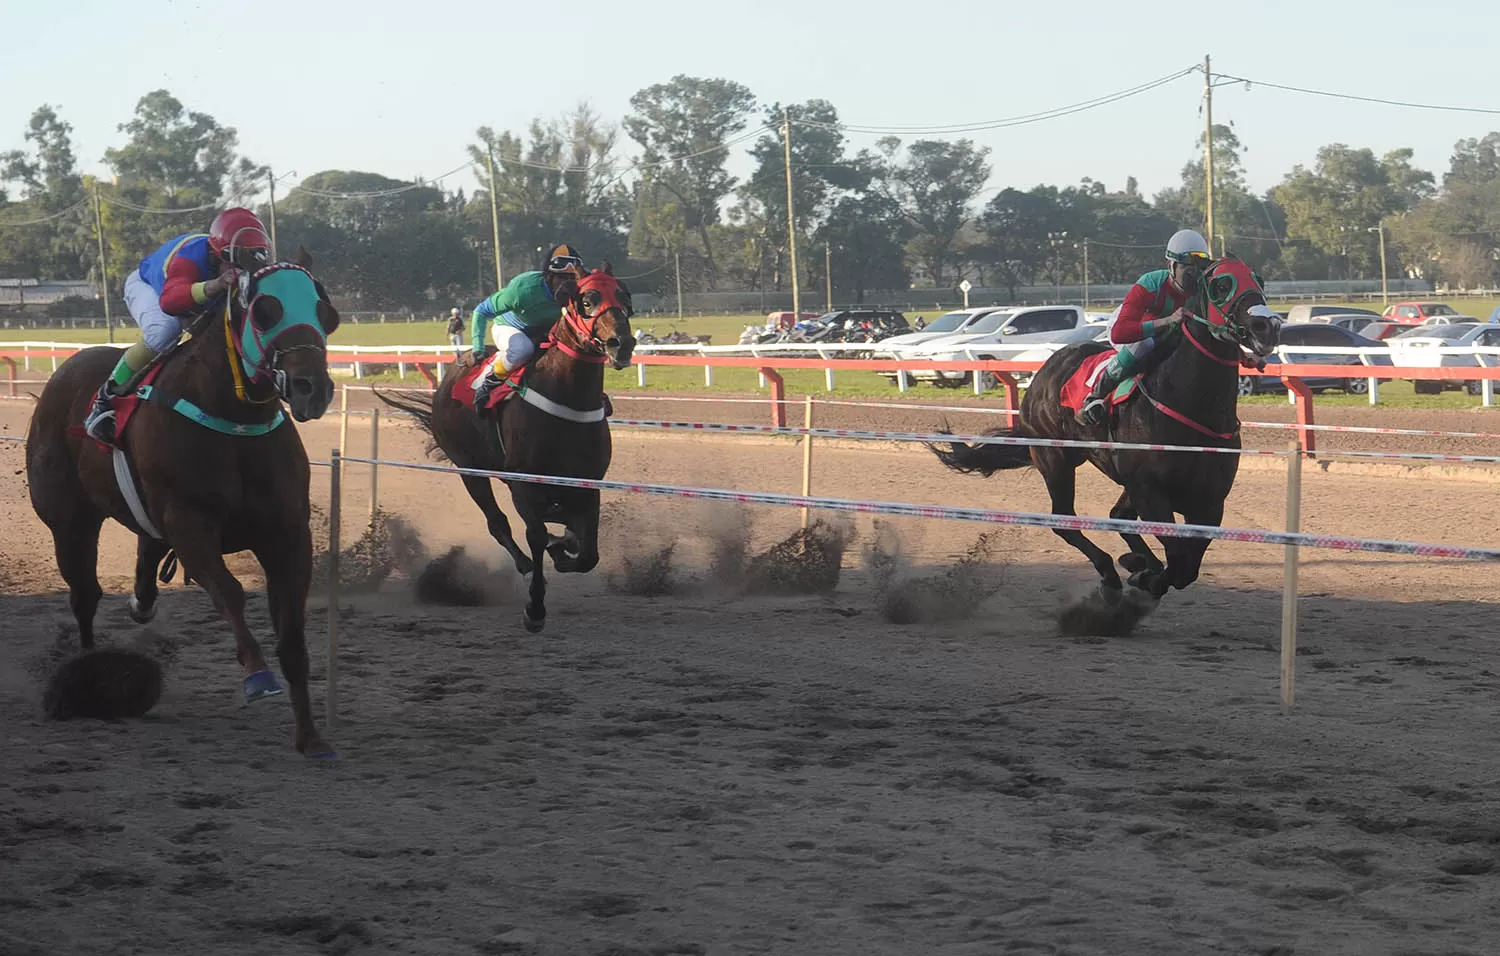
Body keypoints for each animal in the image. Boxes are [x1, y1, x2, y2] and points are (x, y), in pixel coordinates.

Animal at [28, 249, 340, 756]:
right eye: (265, 310)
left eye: (325, 312)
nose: (312, 387)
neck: (234, 417)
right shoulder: (189, 523)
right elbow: (230, 592)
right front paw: (257, 675)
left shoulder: (288, 533)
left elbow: (292, 633)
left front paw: (310, 736)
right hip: (69, 522)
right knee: (85, 595)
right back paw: (85, 676)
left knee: (144, 557)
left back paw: (140, 604)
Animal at [381, 264, 633, 630]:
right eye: (587, 300)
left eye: (625, 295)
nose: (622, 343)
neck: (566, 397)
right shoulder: (523, 484)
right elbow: (536, 535)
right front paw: (535, 608)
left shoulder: (587, 483)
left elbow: (588, 553)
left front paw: (565, 549)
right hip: (470, 470)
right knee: (498, 523)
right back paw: (528, 565)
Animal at [936, 253, 1278, 597]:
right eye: (1221, 285)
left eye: (1260, 280)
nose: (1268, 326)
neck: (1192, 408)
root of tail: (1045, 370)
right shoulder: (1150, 492)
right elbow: (1178, 559)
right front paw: (1145, 575)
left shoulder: (1209, 502)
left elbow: (1187, 567)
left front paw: (1143, 569)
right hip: (1054, 459)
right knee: (1064, 520)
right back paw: (1111, 570)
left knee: (1117, 516)